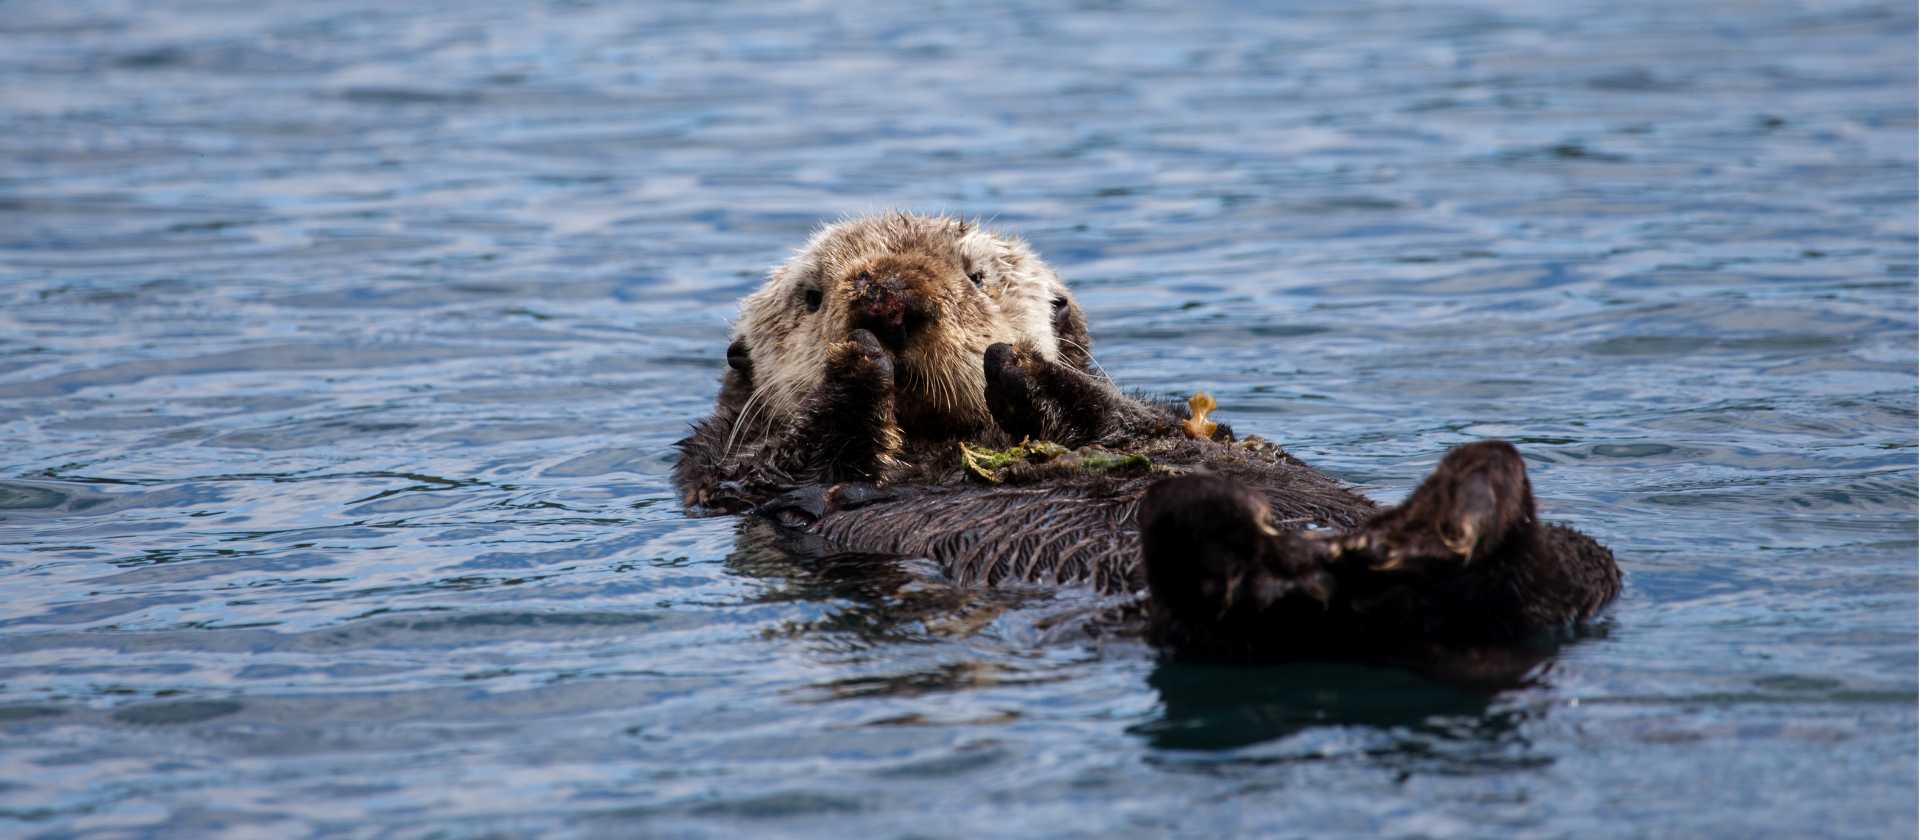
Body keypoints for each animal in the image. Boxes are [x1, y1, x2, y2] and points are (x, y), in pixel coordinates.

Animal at [675, 213, 1620, 662]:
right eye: (811, 296)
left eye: (976, 275)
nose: (888, 301)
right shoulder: (730, 483)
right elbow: (787, 464)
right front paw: (857, 369)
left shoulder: (1163, 421)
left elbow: (1152, 422)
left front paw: (1023, 365)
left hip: (1582, 564)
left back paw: (1457, 503)